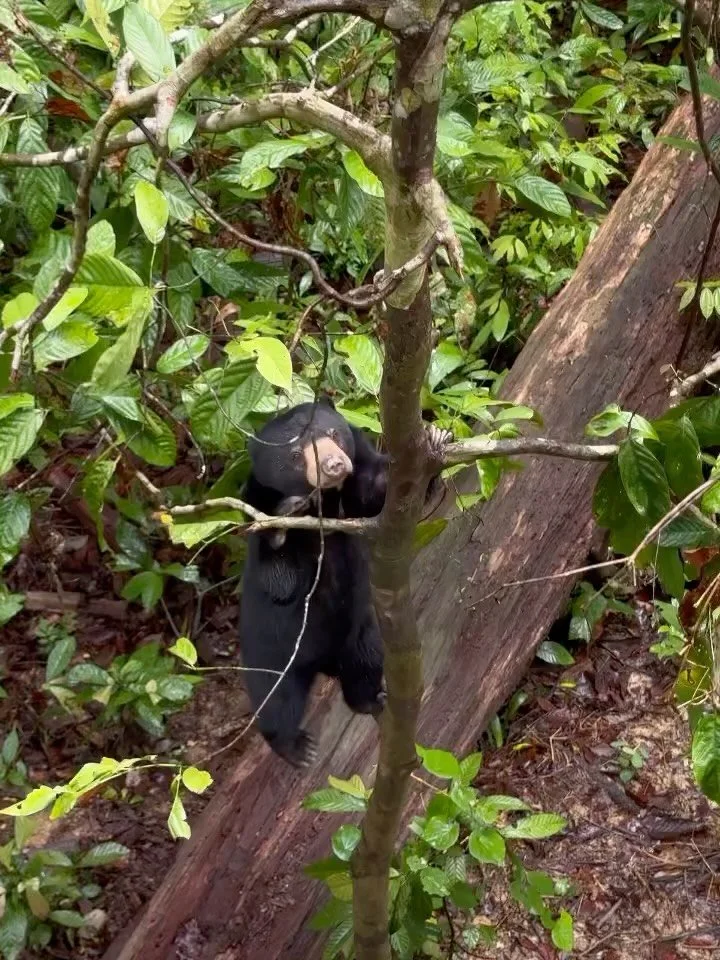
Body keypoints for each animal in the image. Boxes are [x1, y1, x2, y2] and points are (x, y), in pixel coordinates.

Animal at [238, 398, 449, 767]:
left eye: (333, 433)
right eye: (296, 454)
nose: (334, 465)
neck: (326, 500)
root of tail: (325, 663)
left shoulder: (357, 488)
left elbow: (383, 491)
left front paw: (435, 438)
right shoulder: (257, 506)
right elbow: (279, 578)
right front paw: (285, 517)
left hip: (363, 633)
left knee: (365, 663)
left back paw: (371, 698)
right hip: (271, 650)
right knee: (275, 699)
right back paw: (296, 748)